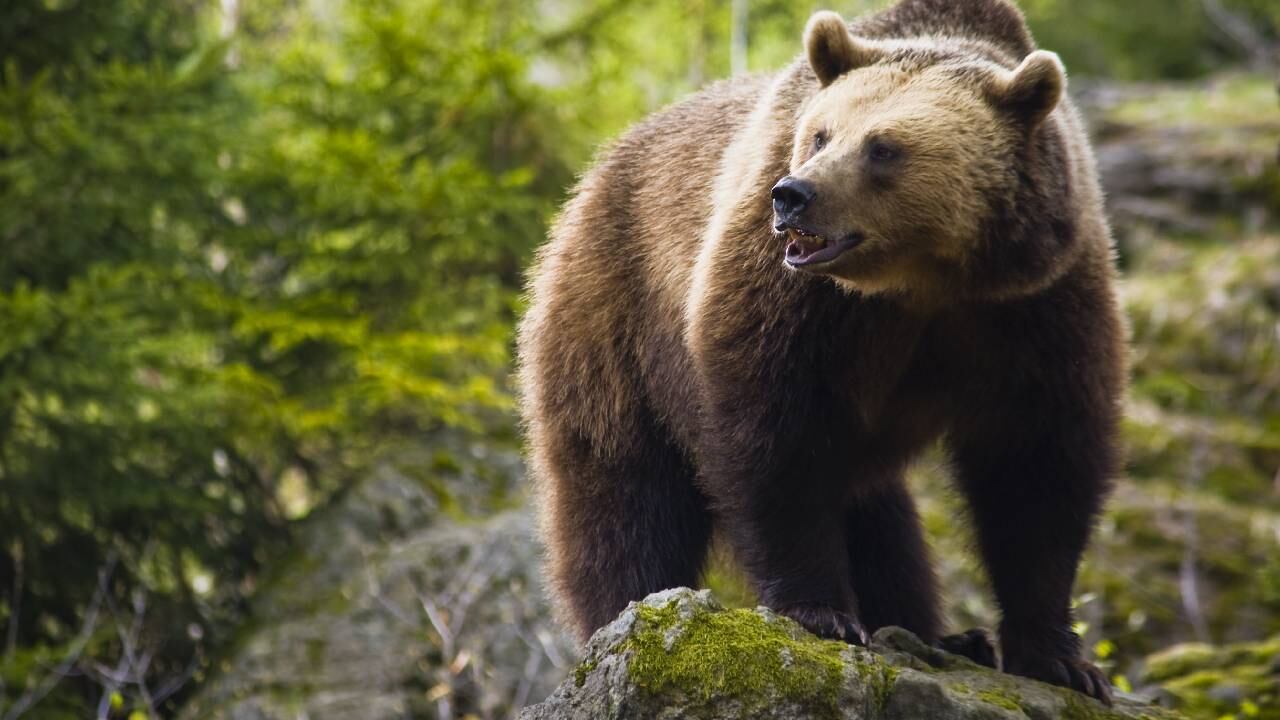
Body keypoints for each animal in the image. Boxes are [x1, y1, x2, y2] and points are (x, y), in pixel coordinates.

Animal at [517, 0, 1124, 704]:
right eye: (819, 134)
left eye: (883, 146)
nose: (792, 196)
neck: (922, 281)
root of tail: (595, 173)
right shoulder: (794, 300)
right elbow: (774, 440)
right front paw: (820, 612)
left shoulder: (1034, 304)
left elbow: (1038, 463)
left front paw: (1059, 657)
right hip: (614, 314)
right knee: (623, 490)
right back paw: (624, 610)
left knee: (882, 520)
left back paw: (942, 635)